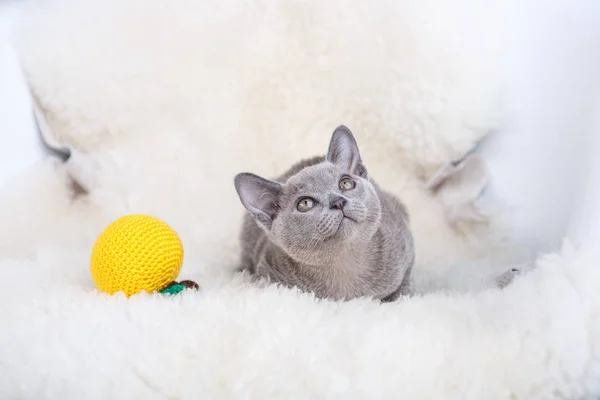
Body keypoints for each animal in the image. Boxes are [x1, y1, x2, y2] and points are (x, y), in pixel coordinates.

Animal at [236, 126, 418, 302]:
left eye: (346, 183)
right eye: (305, 204)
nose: (338, 201)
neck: (344, 265)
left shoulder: (405, 247)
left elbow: (403, 290)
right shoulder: (266, 274)